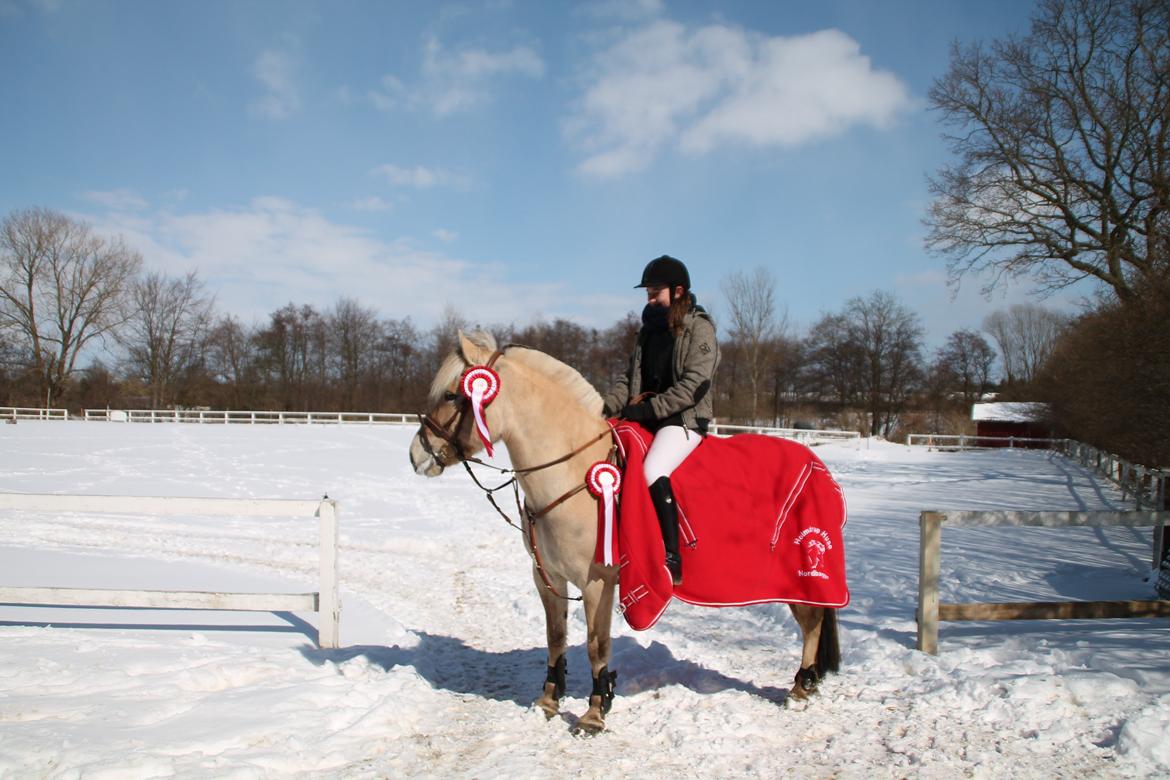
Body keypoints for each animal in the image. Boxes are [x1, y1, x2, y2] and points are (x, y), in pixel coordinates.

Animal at [407, 332, 837, 734]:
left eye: (451, 394)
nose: (417, 454)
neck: (574, 470)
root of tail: (815, 461)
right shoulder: (548, 578)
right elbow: (556, 637)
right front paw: (548, 702)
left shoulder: (598, 581)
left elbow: (596, 645)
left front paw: (594, 714)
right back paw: (808, 683)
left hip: (799, 576)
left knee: (812, 622)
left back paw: (800, 688)